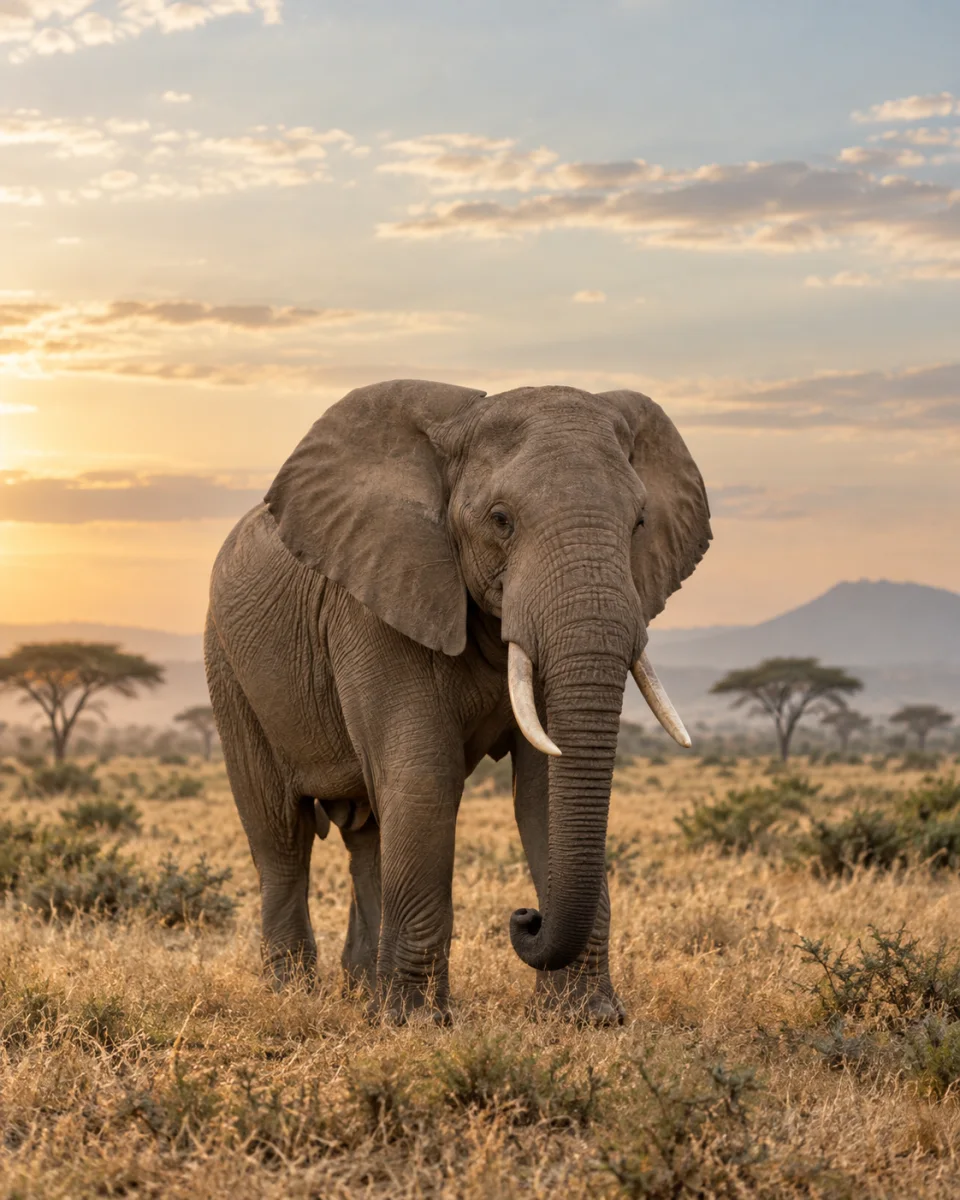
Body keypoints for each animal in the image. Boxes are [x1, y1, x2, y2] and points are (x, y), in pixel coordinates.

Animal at [205, 379, 711, 1024]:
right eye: (501, 520)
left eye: (640, 521)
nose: (525, 917)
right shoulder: (376, 601)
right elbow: (424, 777)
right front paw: (417, 1024)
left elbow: (544, 790)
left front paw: (588, 1019)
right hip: (228, 667)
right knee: (280, 834)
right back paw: (293, 994)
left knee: (368, 833)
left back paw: (362, 989)